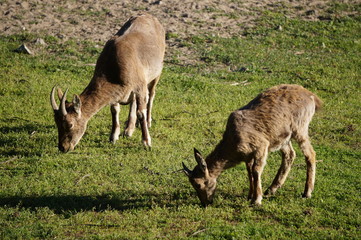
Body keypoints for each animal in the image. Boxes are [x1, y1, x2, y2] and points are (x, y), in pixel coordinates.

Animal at [49, 13, 165, 152]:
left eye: (70, 124)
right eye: (56, 122)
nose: (63, 147)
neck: (113, 68)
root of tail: (152, 17)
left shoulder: (140, 85)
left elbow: (141, 112)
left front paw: (147, 142)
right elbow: (115, 110)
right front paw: (113, 137)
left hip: (157, 72)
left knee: (151, 94)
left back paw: (148, 122)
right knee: (134, 102)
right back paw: (129, 129)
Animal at [183, 84, 320, 206]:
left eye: (199, 184)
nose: (205, 203)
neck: (233, 141)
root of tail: (311, 96)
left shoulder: (261, 146)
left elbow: (255, 170)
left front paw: (256, 200)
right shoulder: (248, 155)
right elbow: (249, 171)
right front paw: (250, 196)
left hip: (300, 127)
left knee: (310, 154)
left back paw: (307, 192)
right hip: (283, 137)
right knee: (290, 154)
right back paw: (271, 189)